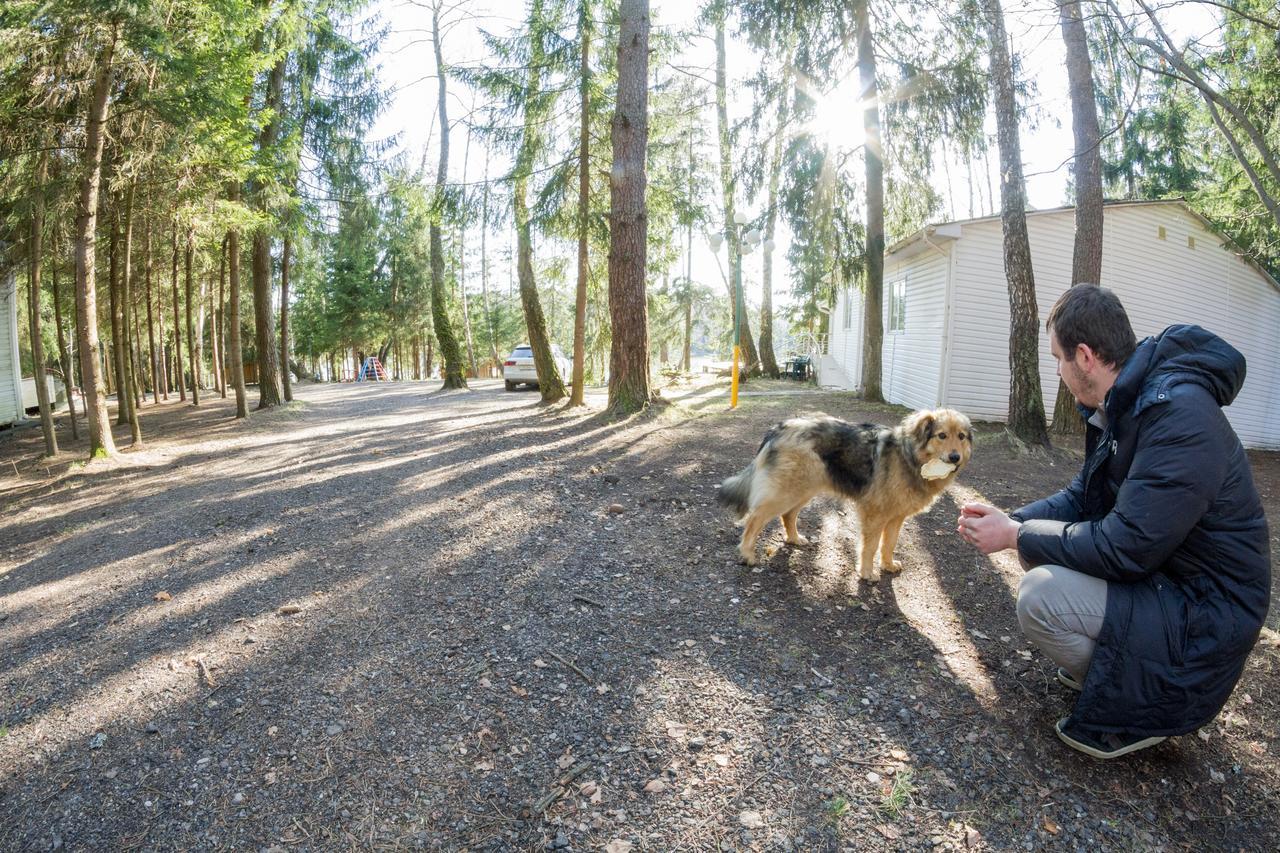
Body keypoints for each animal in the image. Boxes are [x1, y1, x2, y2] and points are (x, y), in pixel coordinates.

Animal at [716, 407, 972, 578]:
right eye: (941, 435)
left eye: (961, 436)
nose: (955, 457)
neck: (909, 456)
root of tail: (778, 428)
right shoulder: (875, 515)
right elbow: (870, 547)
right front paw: (867, 573)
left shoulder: (896, 518)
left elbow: (889, 544)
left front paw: (888, 565)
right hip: (786, 492)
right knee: (755, 518)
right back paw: (747, 554)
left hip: (804, 489)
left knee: (788, 515)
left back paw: (794, 539)